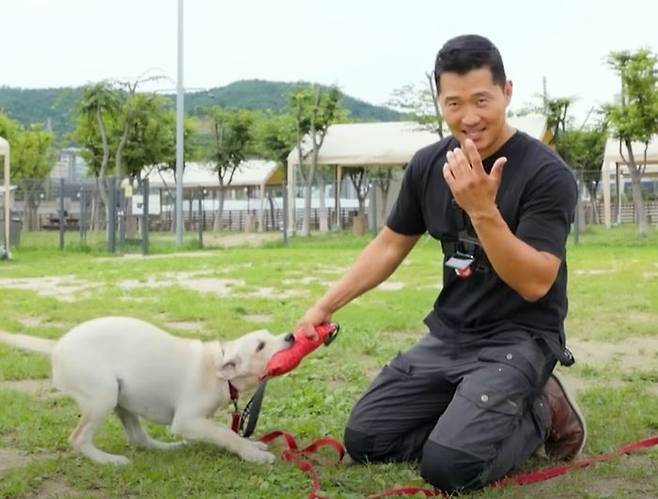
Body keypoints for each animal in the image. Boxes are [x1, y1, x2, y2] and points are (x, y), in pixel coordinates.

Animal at [0, 318, 292, 466]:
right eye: (261, 346)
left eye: (269, 334)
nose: (291, 336)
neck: (217, 368)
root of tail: (57, 346)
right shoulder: (187, 421)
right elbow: (224, 433)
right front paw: (252, 454)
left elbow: (228, 432)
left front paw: (252, 445)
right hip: (104, 395)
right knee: (78, 439)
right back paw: (109, 460)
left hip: (121, 397)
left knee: (139, 438)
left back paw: (168, 448)